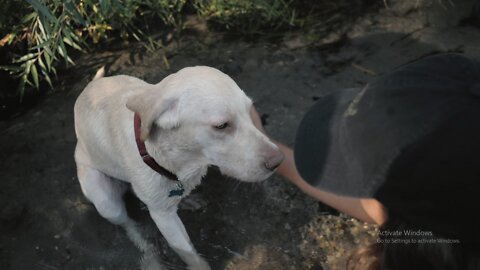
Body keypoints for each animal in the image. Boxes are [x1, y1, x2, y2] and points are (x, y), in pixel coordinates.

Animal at [73, 66, 284, 270]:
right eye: (221, 125)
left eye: (249, 112)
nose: (279, 160)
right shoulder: (162, 215)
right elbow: (188, 252)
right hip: (105, 202)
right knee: (128, 225)